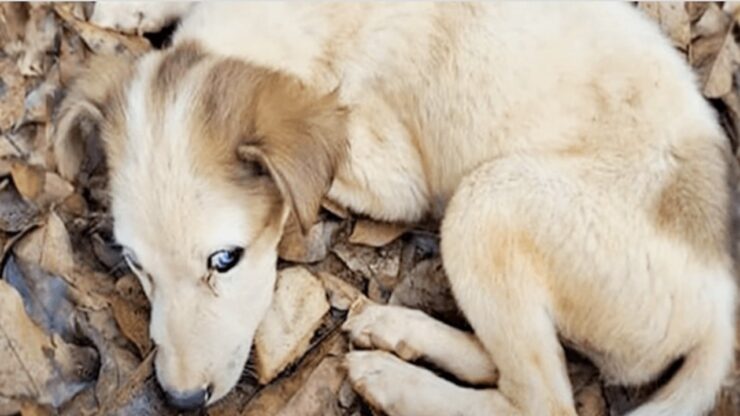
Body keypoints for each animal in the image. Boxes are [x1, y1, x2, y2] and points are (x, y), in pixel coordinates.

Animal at [52, 1, 736, 414]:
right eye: (133, 263)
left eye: (226, 259)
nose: (182, 400)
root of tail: (718, 314)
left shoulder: (391, 174)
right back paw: (398, 332)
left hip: (488, 200)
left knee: (539, 398)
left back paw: (394, 381)